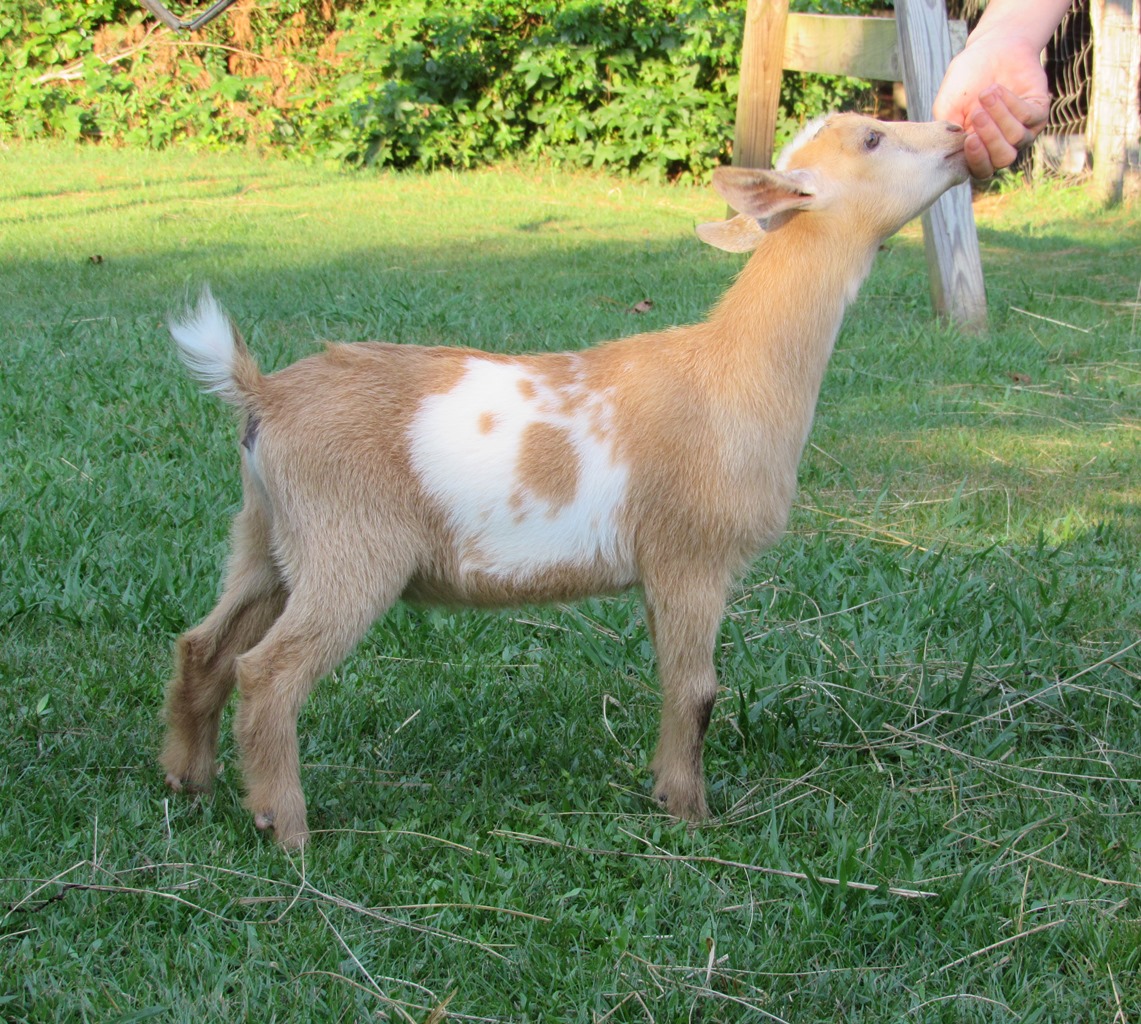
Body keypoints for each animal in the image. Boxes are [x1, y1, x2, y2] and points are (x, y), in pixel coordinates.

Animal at [160, 111, 967, 849]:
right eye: (872, 138)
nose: (960, 135)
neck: (730, 374)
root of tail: (262, 396)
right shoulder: (690, 555)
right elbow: (697, 690)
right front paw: (690, 815)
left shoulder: (660, 570)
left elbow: (675, 683)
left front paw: (664, 791)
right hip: (347, 548)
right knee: (267, 672)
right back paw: (285, 827)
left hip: (264, 536)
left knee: (203, 646)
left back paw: (187, 781)